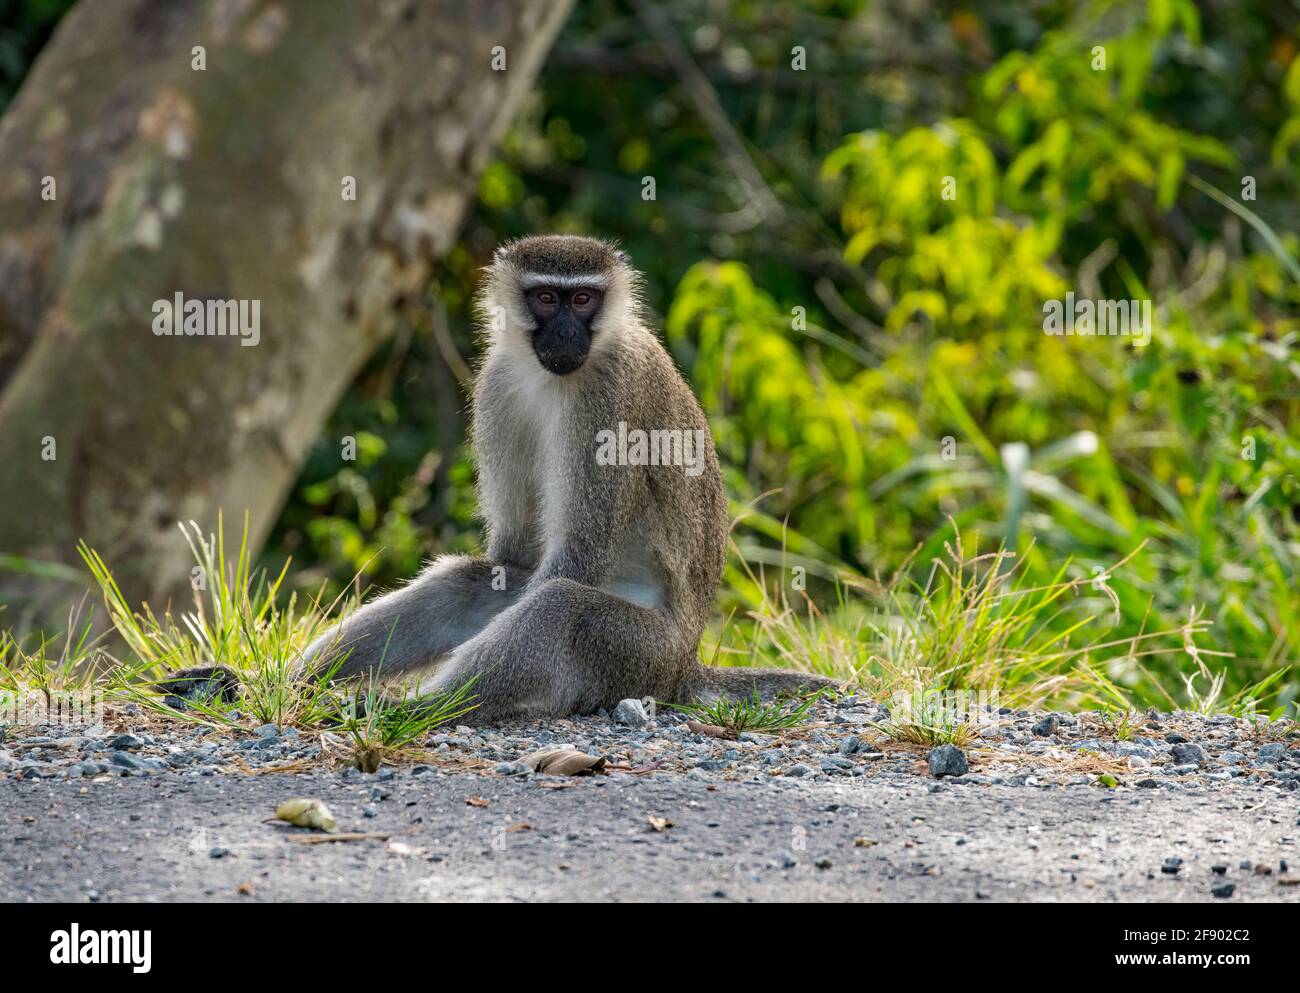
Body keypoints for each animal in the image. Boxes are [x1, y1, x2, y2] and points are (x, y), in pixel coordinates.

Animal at [165, 240, 832, 722]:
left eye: (582, 301)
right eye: (545, 299)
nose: (564, 335)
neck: (559, 375)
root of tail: (686, 664)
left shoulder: (609, 397)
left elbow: (573, 562)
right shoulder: (496, 385)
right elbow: (510, 558)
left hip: (638, 654)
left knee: (561, 607)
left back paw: (417, 708)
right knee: (467, 584)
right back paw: (271, 685)